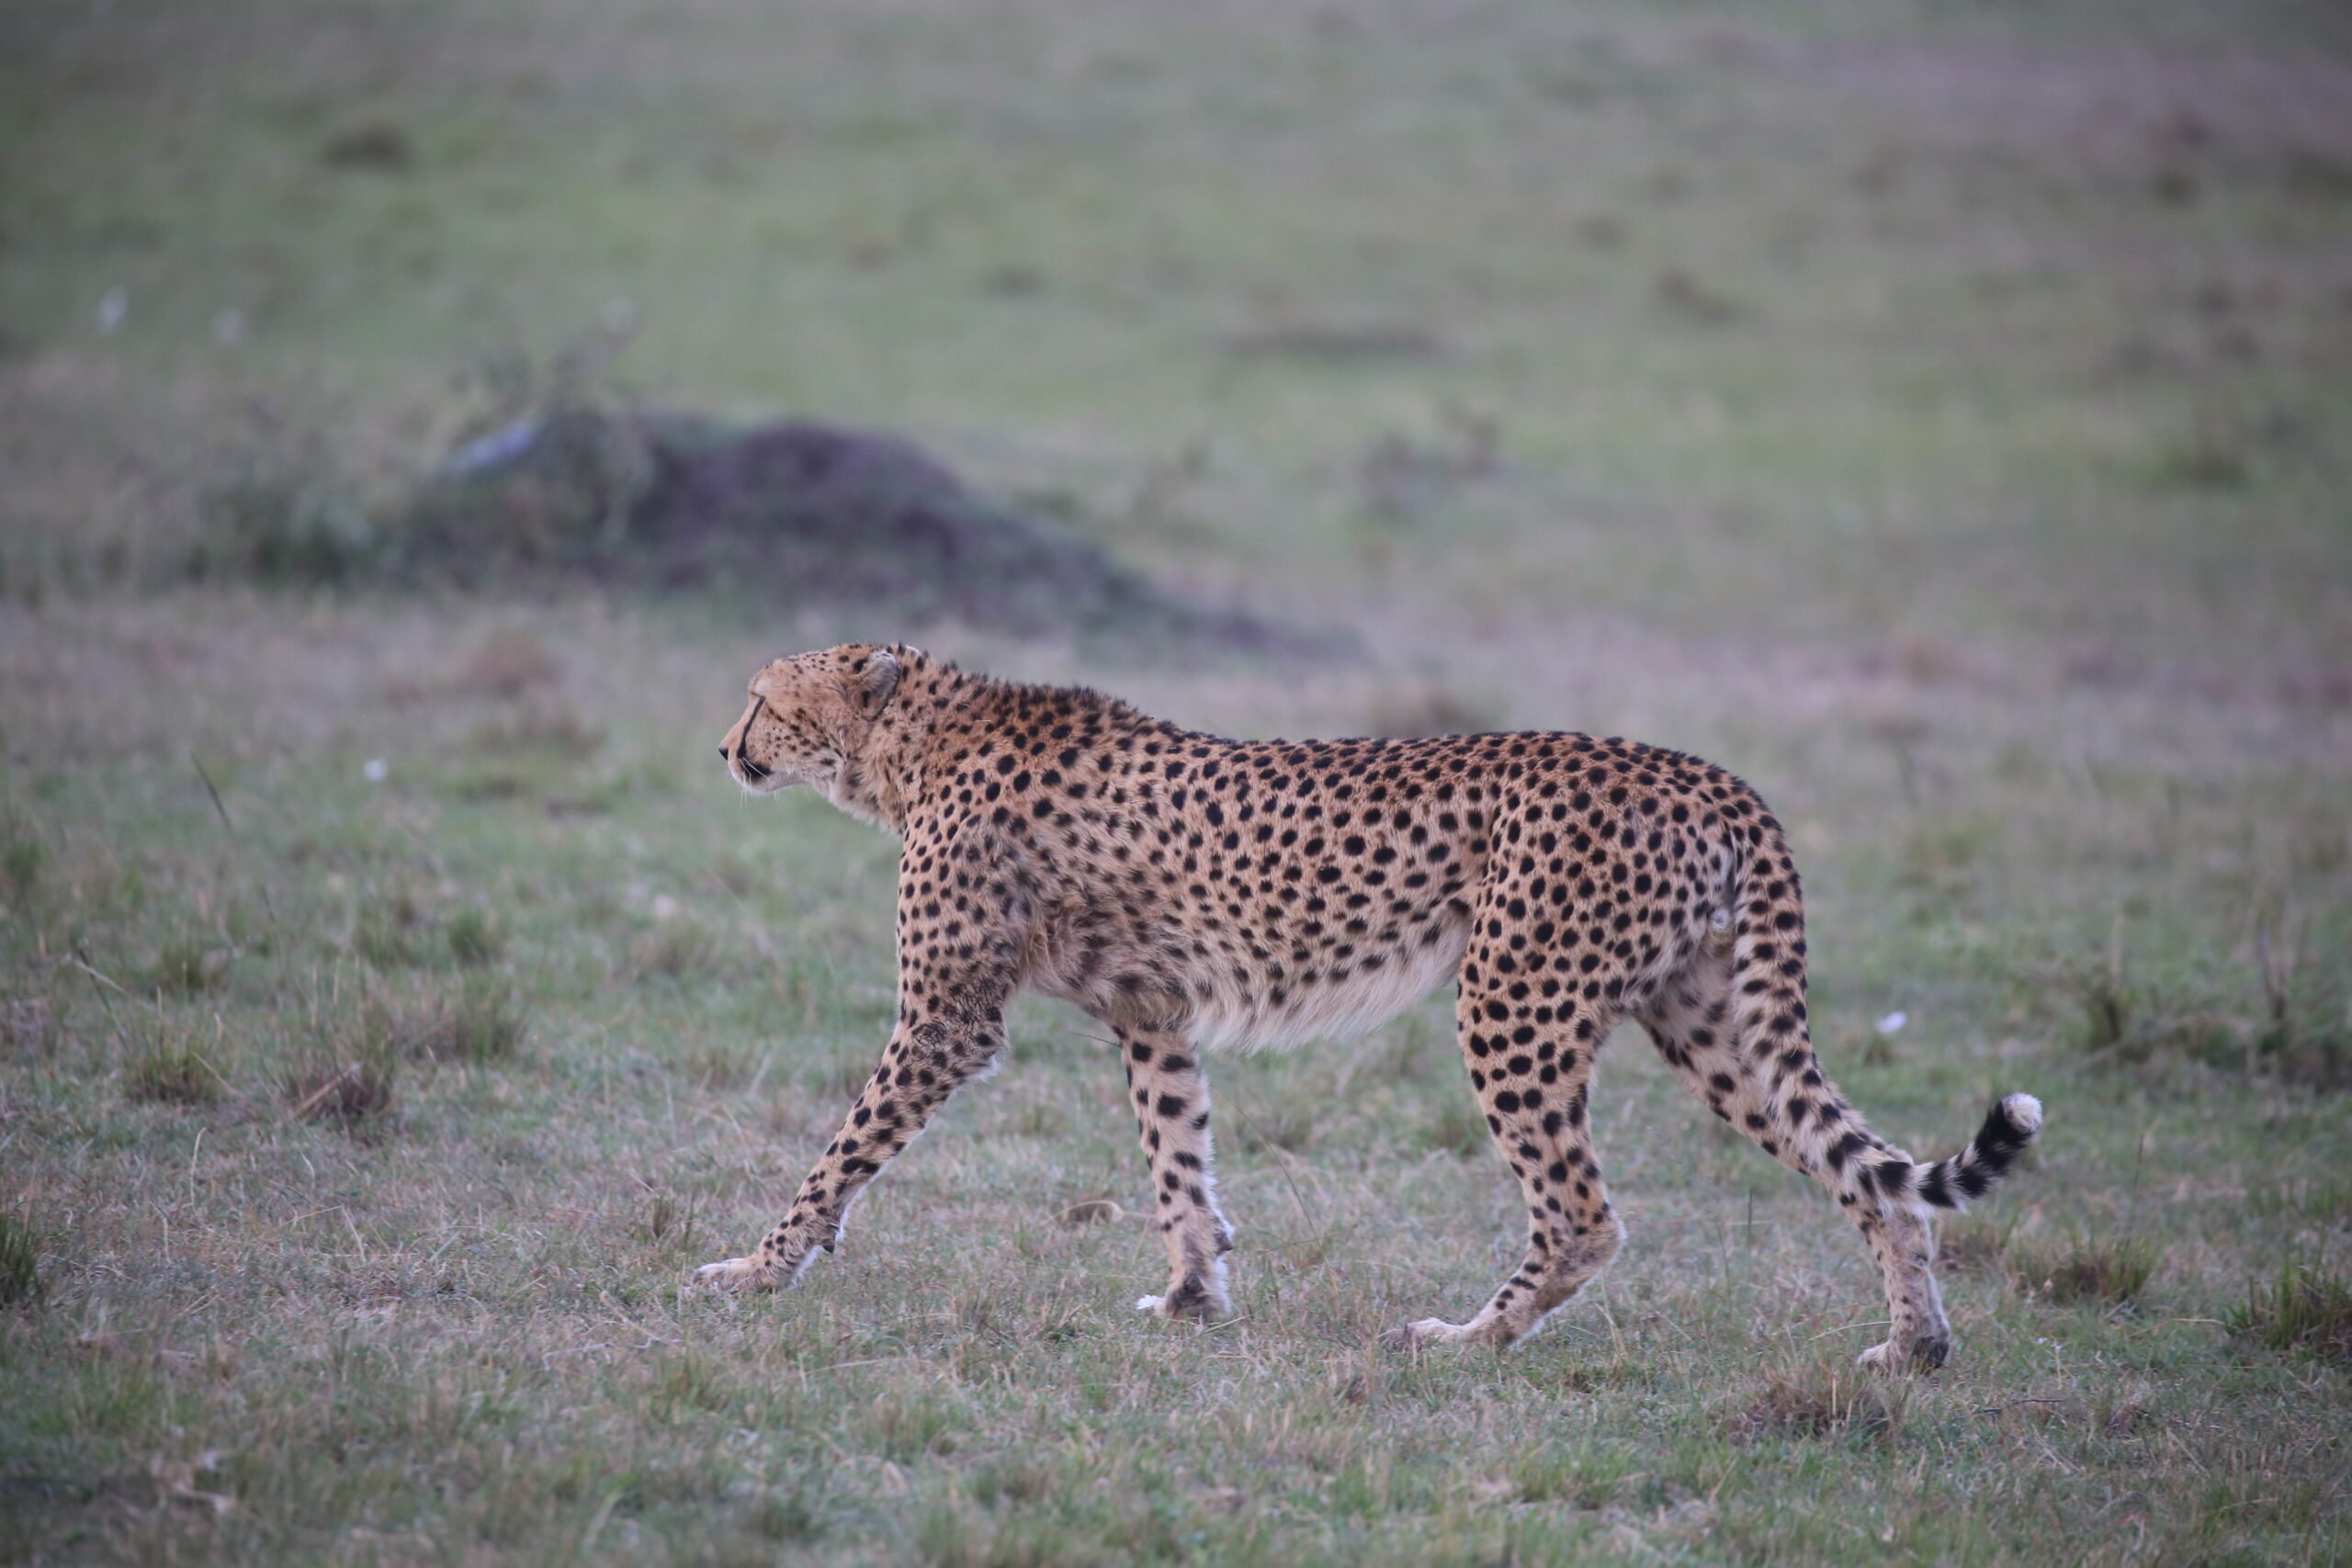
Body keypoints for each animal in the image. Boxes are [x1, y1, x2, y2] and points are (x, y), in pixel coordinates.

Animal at [693, 643, 2043, 1368]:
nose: (721, 747)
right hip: (1706, 1020)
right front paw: (1194, 1297)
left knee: (1583, 1212)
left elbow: (840, 1149)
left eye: (760, 697)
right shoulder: (1151, 1006)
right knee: (1871, 1174)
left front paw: (757, 1269)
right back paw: (1914, 1350)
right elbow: (1178, 1158)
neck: (918, 740)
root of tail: (1708, 773)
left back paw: (1467, 1341)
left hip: (1512, 1000)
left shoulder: (949, 1019)